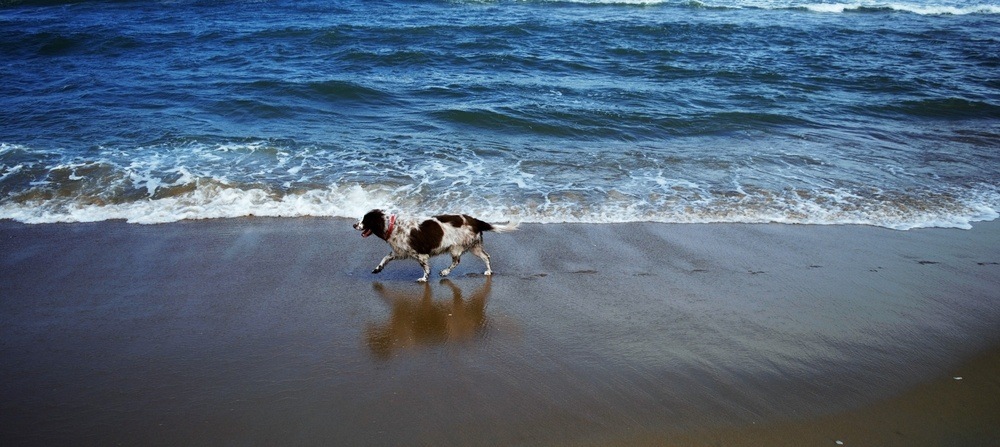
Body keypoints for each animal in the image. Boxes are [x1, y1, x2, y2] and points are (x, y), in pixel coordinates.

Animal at [352, 211, 520, 284]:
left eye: (365, 219)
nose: (354, 225)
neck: (393, 225)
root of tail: (475, 221)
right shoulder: (399, 251)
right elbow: (385, 258)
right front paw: (377, 268)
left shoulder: (419, 254)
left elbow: (425, 267)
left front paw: (424, 278)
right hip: (474, 246)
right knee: (486, 256)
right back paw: (489, 271)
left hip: (456, 247)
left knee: (457, 262)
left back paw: (444, 272)